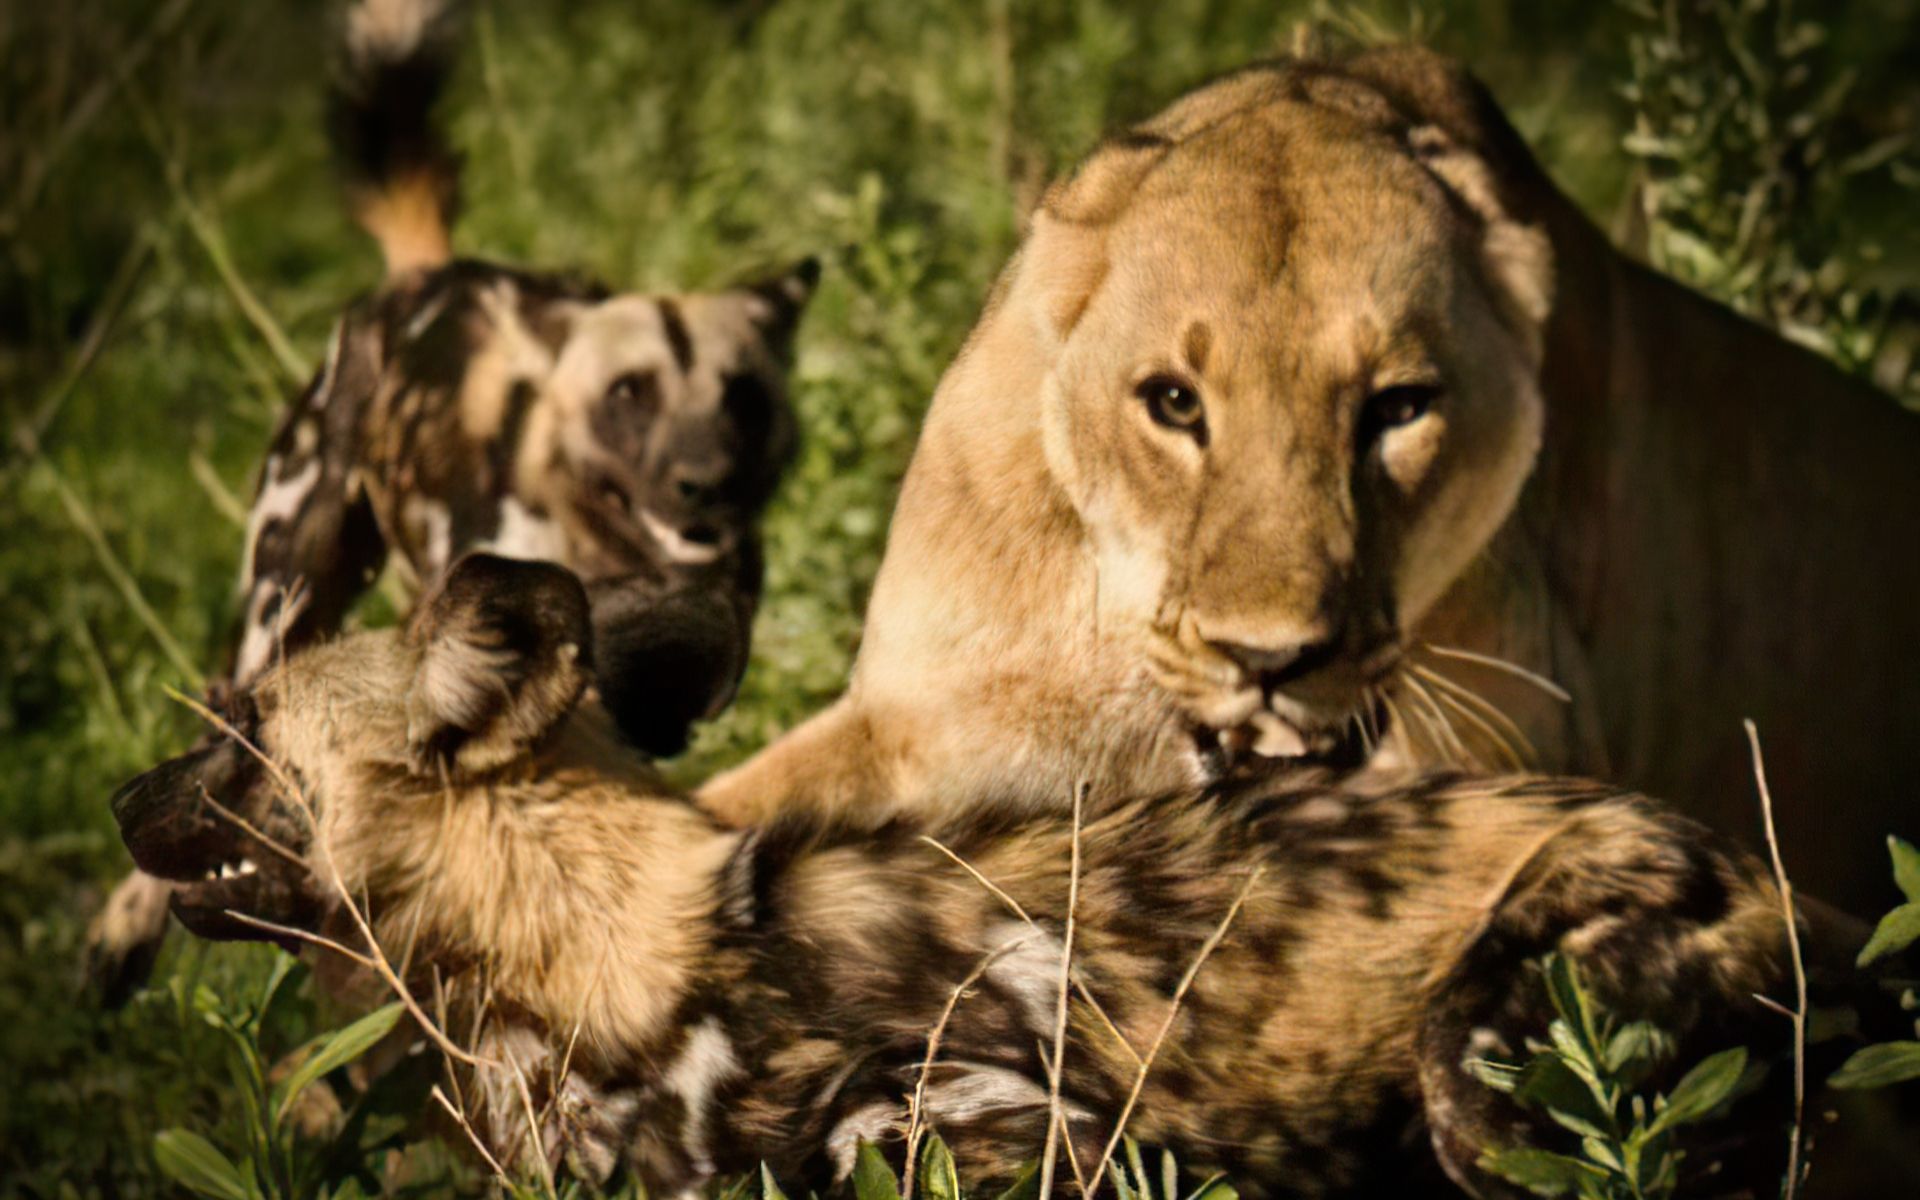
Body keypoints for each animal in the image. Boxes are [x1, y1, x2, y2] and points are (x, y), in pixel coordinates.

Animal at [86, 0, 821, 998]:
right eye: (628, 395)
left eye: (742, 395)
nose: (703, 481)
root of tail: (423, 275)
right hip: (284, 600)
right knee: (220, 713)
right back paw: (121, 939)